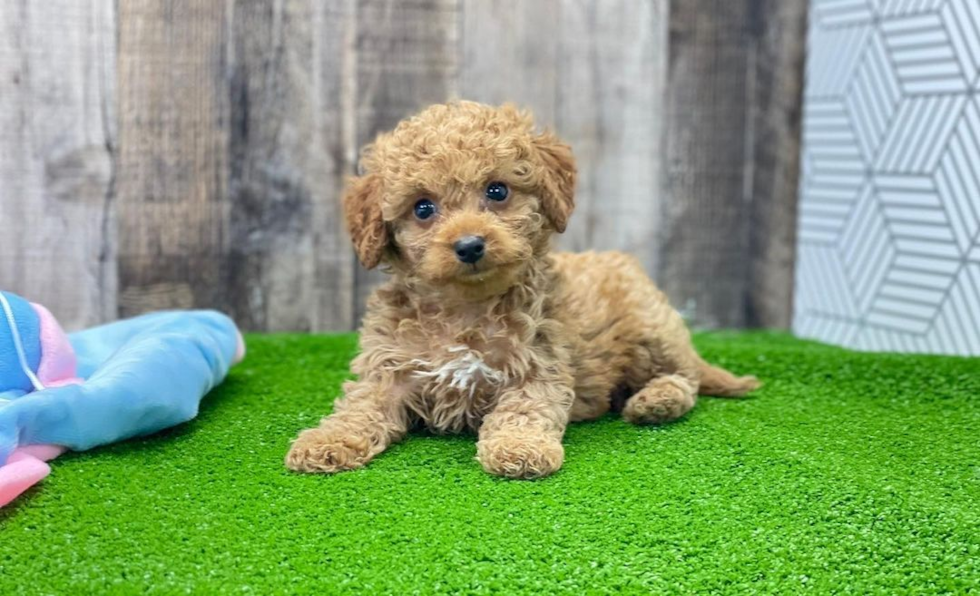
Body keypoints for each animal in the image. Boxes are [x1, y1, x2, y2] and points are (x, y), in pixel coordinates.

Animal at [284, 101, 756, 480]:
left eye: (497, 191)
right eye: (422, 208)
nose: (470, 245)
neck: (464, 307)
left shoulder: (539, 360)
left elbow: (524, 408)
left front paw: (519, 448)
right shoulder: (389, 367)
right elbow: (361, 405)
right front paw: (326, 441)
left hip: (649, 332)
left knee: (684, 378)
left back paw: (655, 402)